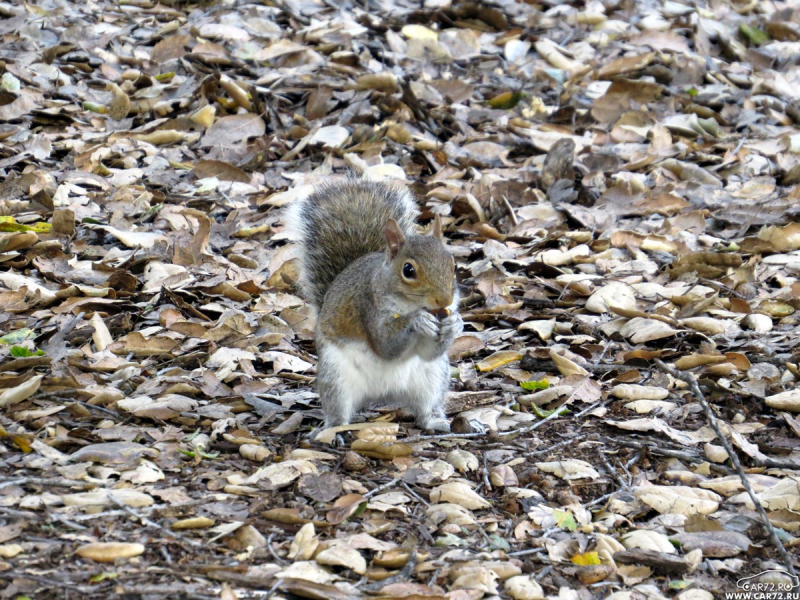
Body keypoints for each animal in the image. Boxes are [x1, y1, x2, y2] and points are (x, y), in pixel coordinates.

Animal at [286, 176, 462, 434]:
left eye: (453, 264)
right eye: (408, 270)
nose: (444, 300)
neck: (408, 303)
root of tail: (382, 395)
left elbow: (430, 352)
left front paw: (455, 324)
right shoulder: (367, 306)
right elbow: (385, 345)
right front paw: (417, 320)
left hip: (433, 376)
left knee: (426, 409)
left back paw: (437, 422)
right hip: (335, 377)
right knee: (338, 411)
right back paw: (334, 430)